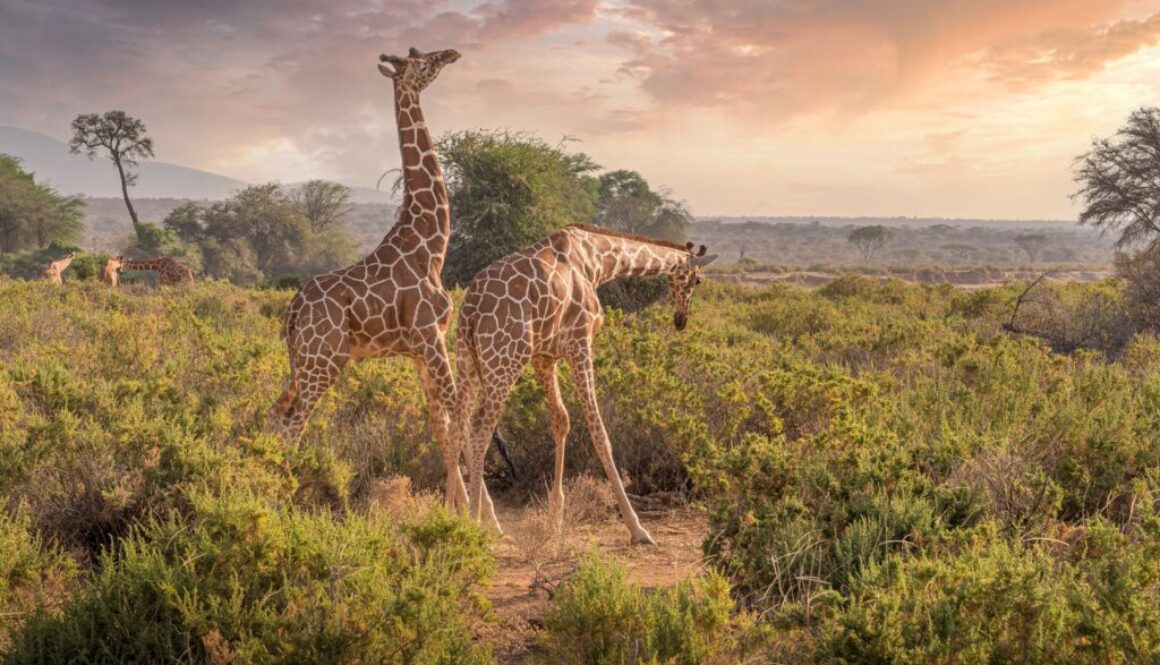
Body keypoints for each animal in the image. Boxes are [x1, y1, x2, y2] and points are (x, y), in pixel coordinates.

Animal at [267, 47, 499, 524]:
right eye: (423, 62)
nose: (451, 53)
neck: (431, 246)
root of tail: (293, 309)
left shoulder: (420, 349)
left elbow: (441, 426)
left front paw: (455, 511)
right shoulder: (431, 338)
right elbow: (459, 416)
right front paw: (486, 518)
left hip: (303, 362)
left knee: (275, 413)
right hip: (324, 362)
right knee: (294, 421)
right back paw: (281, 504)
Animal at [453, 224, 717, 544]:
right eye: (698, 280)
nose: (681, 320)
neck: (597, 261)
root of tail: (471, 308)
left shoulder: (544, 355)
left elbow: (561, 420)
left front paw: (555, 518)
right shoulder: (580, 342)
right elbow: (599, 431)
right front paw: (637, 528)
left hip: (467, 358)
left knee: (458, 424)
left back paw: (459, 515)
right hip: (504, 359)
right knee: (480, 427)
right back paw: (475, 524)